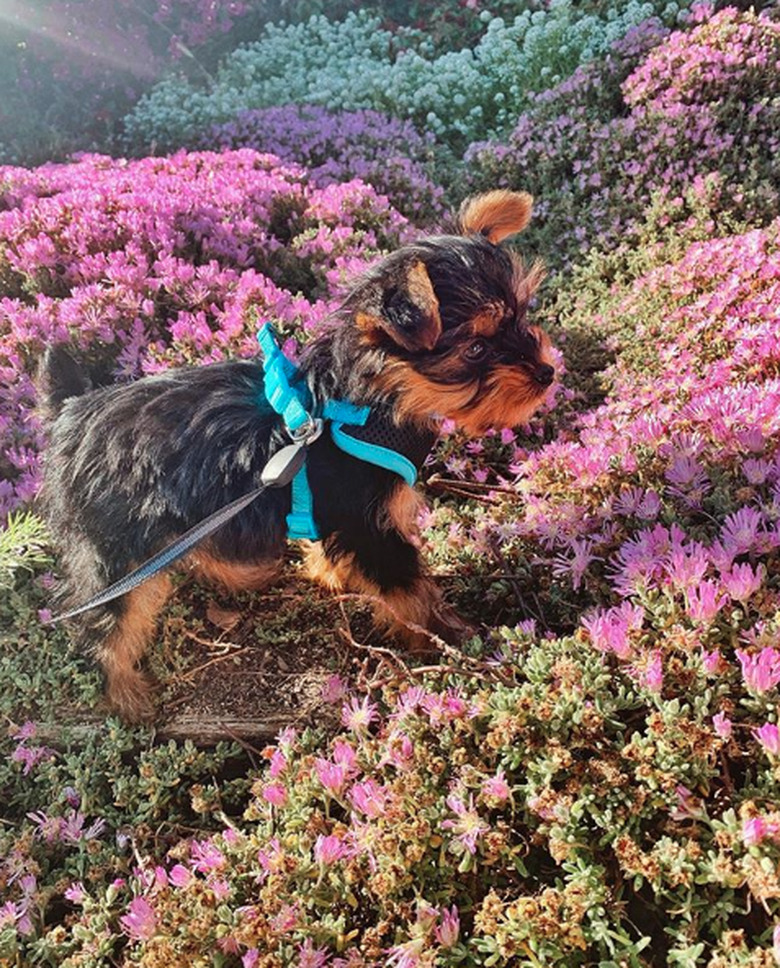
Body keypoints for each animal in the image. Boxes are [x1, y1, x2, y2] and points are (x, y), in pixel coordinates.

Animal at [38, 191, 556, 720]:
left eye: (521, 315)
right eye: (475, 349)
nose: (546, 373)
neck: (362, 403)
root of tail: (71, 411)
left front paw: (329, 574)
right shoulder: (370, 525)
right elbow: (408, 587)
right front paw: (445, 632)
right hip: (117, 550)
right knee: (106, 624)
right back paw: (125, 696)